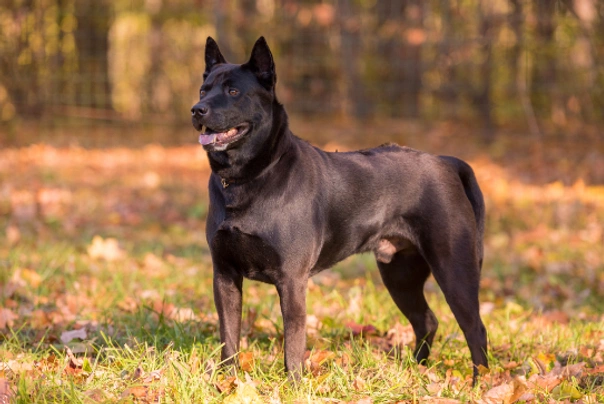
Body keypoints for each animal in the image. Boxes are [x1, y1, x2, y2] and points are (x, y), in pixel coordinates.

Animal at [191, 37, 488, 382]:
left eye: (233, 91)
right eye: (203, 90)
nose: (197, 109)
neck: (248, 177)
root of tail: (446, 162)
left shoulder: (292, 280)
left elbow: (293, 342)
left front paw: (294, 383)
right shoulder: (224, 275)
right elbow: (229, 336)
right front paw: (228, 381)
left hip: (454, 268)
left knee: (475, 329)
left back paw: (479, 383)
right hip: (400, 274)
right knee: (427, 320)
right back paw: (417, 369)